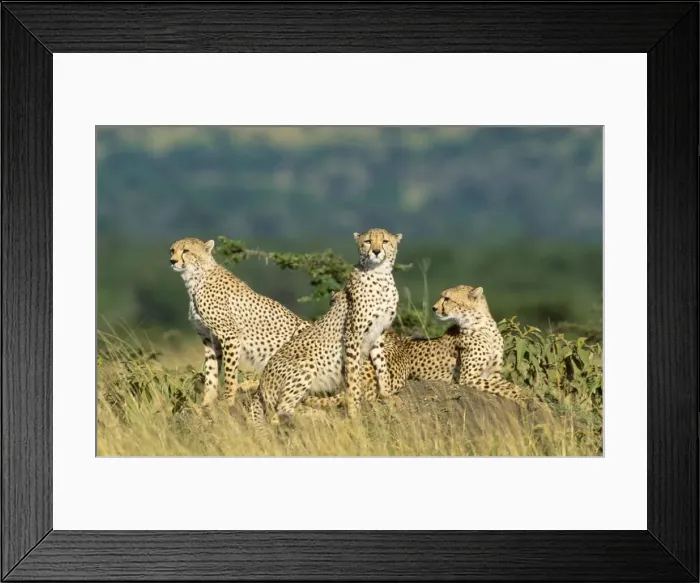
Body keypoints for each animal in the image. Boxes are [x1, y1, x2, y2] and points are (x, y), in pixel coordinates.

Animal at [170, 237, 309, 410]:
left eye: (186, 251)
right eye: (172, 250)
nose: (172, 261)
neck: (195, 278)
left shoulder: (230, 335)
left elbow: (230, 373)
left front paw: (228, 400)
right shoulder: (209, 339)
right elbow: (211, 372)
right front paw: (207, 403)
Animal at [249, 228, 402, 427]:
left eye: (385, 241)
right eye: (368, 241)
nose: (376, 252)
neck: (381, 276)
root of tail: (261, 383)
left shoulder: (378, 334)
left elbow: (382, 367)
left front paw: (387, 396)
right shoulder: (353, 336)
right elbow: (354, 379)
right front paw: (355, 412)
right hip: (305, 364)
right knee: (280, 412)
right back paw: (320, 418)